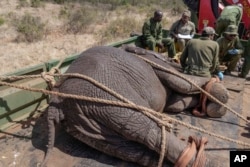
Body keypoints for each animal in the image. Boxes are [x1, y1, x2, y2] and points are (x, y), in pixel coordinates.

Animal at [43, 45, 229, 167]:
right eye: (169, 59)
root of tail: (56, 102)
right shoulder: (155, 64)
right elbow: (185, 83)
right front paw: (218, 92)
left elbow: (175, 103)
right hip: (107, 95)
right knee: (147, 126)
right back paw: (202, 160)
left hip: (83, 122)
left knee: (130, 147)